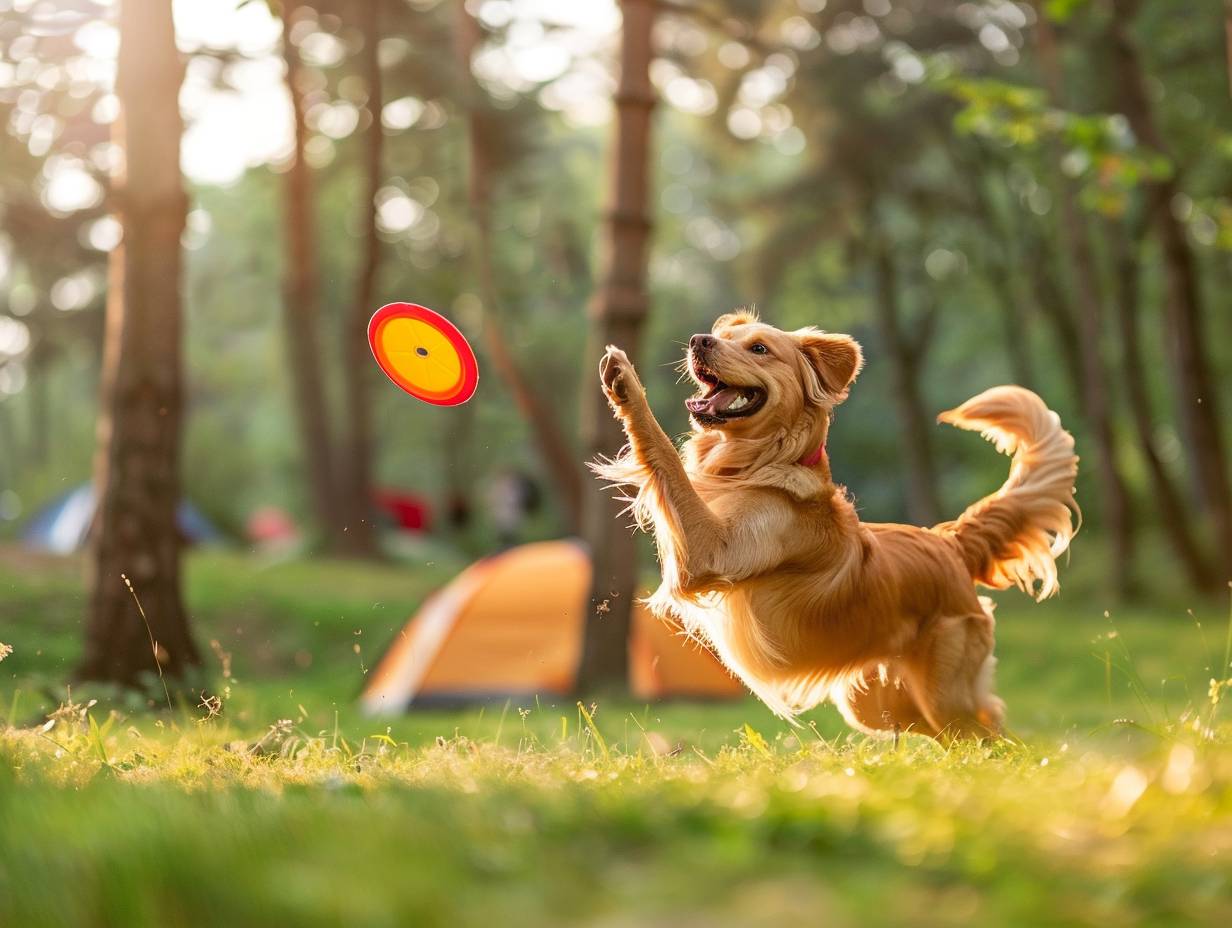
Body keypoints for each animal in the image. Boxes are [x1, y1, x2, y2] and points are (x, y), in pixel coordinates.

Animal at [591, 311, 1074, 739]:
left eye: (759, 348)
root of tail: (948, 542)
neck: (759, 464)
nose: (698, 341)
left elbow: (666, 461)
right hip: (878, 703)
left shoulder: (709, 551)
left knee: (990, 730)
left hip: (945, 695)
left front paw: (627, 384)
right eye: (723, 336)